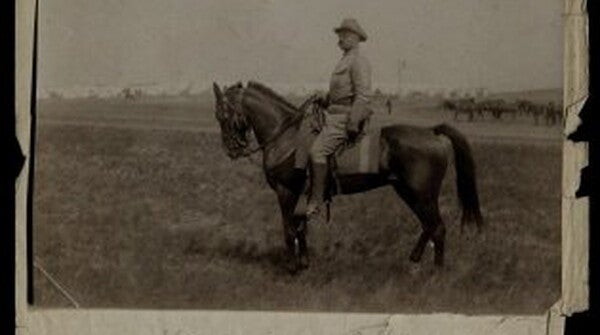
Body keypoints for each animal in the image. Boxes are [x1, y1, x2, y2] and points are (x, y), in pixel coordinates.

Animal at [211, 82, 482, 276]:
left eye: (222, 114)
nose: (232, 150)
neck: (287, 137)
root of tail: (431, 132)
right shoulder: (302, 194)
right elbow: (300, 227)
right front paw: (304, 263)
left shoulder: (285, 191)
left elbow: (289, 229)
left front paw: (292, 268)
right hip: (410, 193)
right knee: (429, 226)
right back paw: (414, 261)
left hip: (421, 194)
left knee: (437, 227)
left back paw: (435, 273)